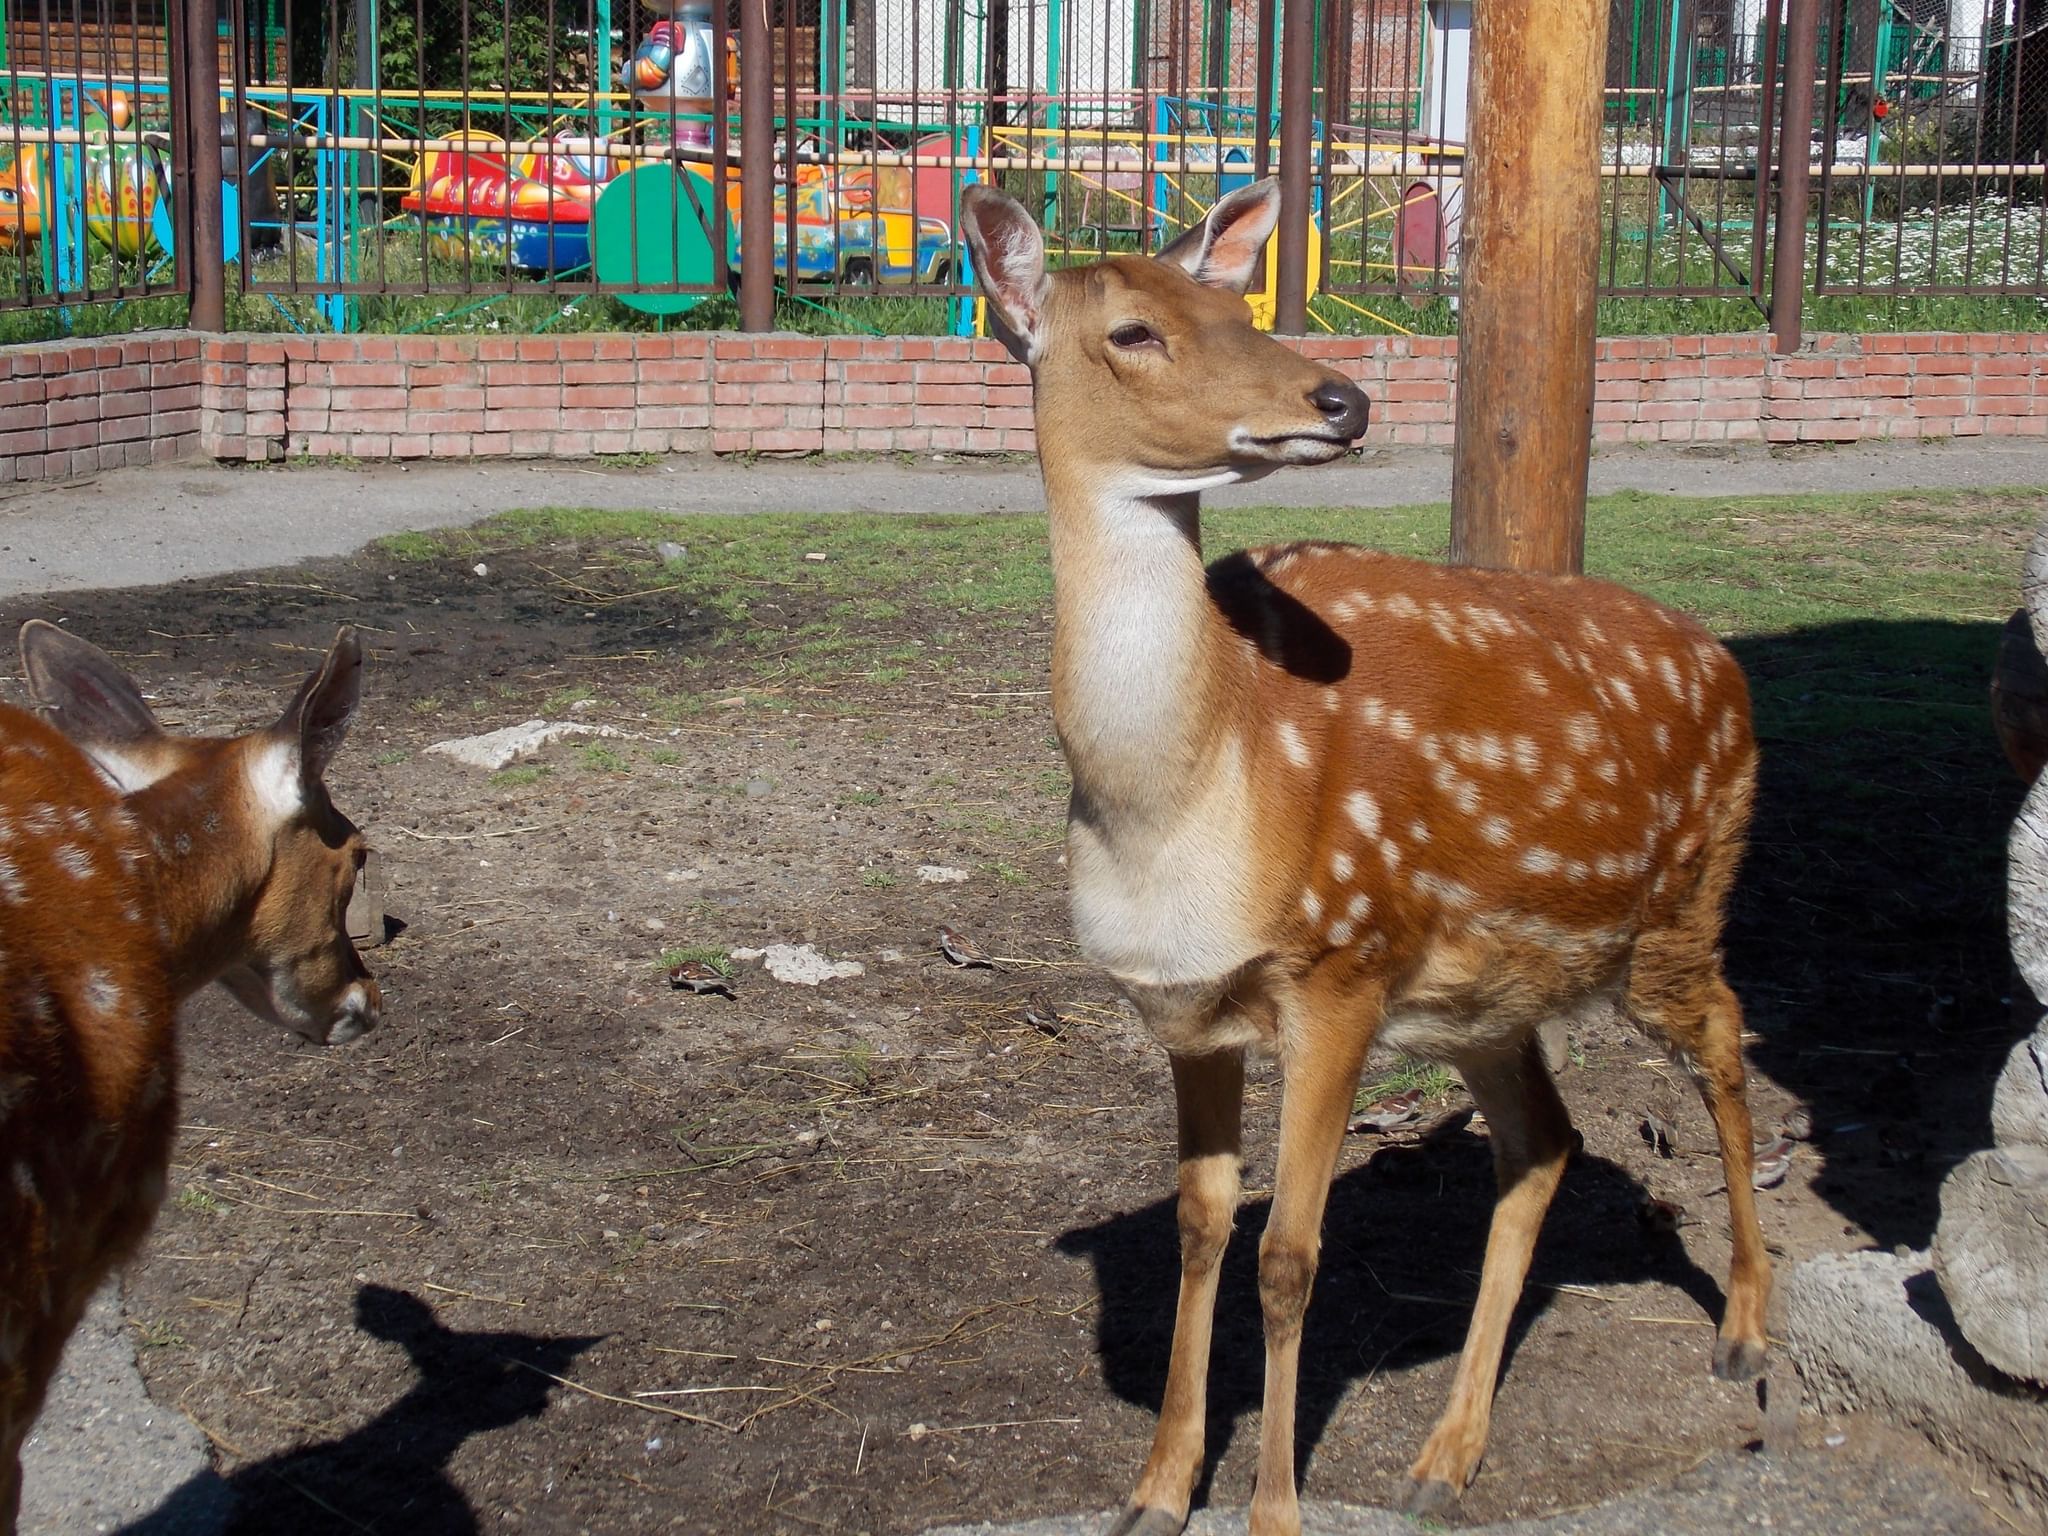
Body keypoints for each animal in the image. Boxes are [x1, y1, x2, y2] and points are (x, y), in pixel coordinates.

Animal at [958, 180, 1777, 1536]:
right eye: (1132, 330)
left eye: (1240, 305)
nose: (1338, 398)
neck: (1183, 809)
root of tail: (1726, 665)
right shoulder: (1184, 1009)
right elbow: (1200, 1232)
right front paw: (1154, 1490)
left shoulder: (1339, 965)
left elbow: (1290, 1259)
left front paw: (1273, 1512)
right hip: (1480, 993)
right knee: (1543, 1140)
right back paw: (1447, 1451)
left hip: (1679, 902)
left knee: (1721, 1036)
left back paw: (1746, 1333)